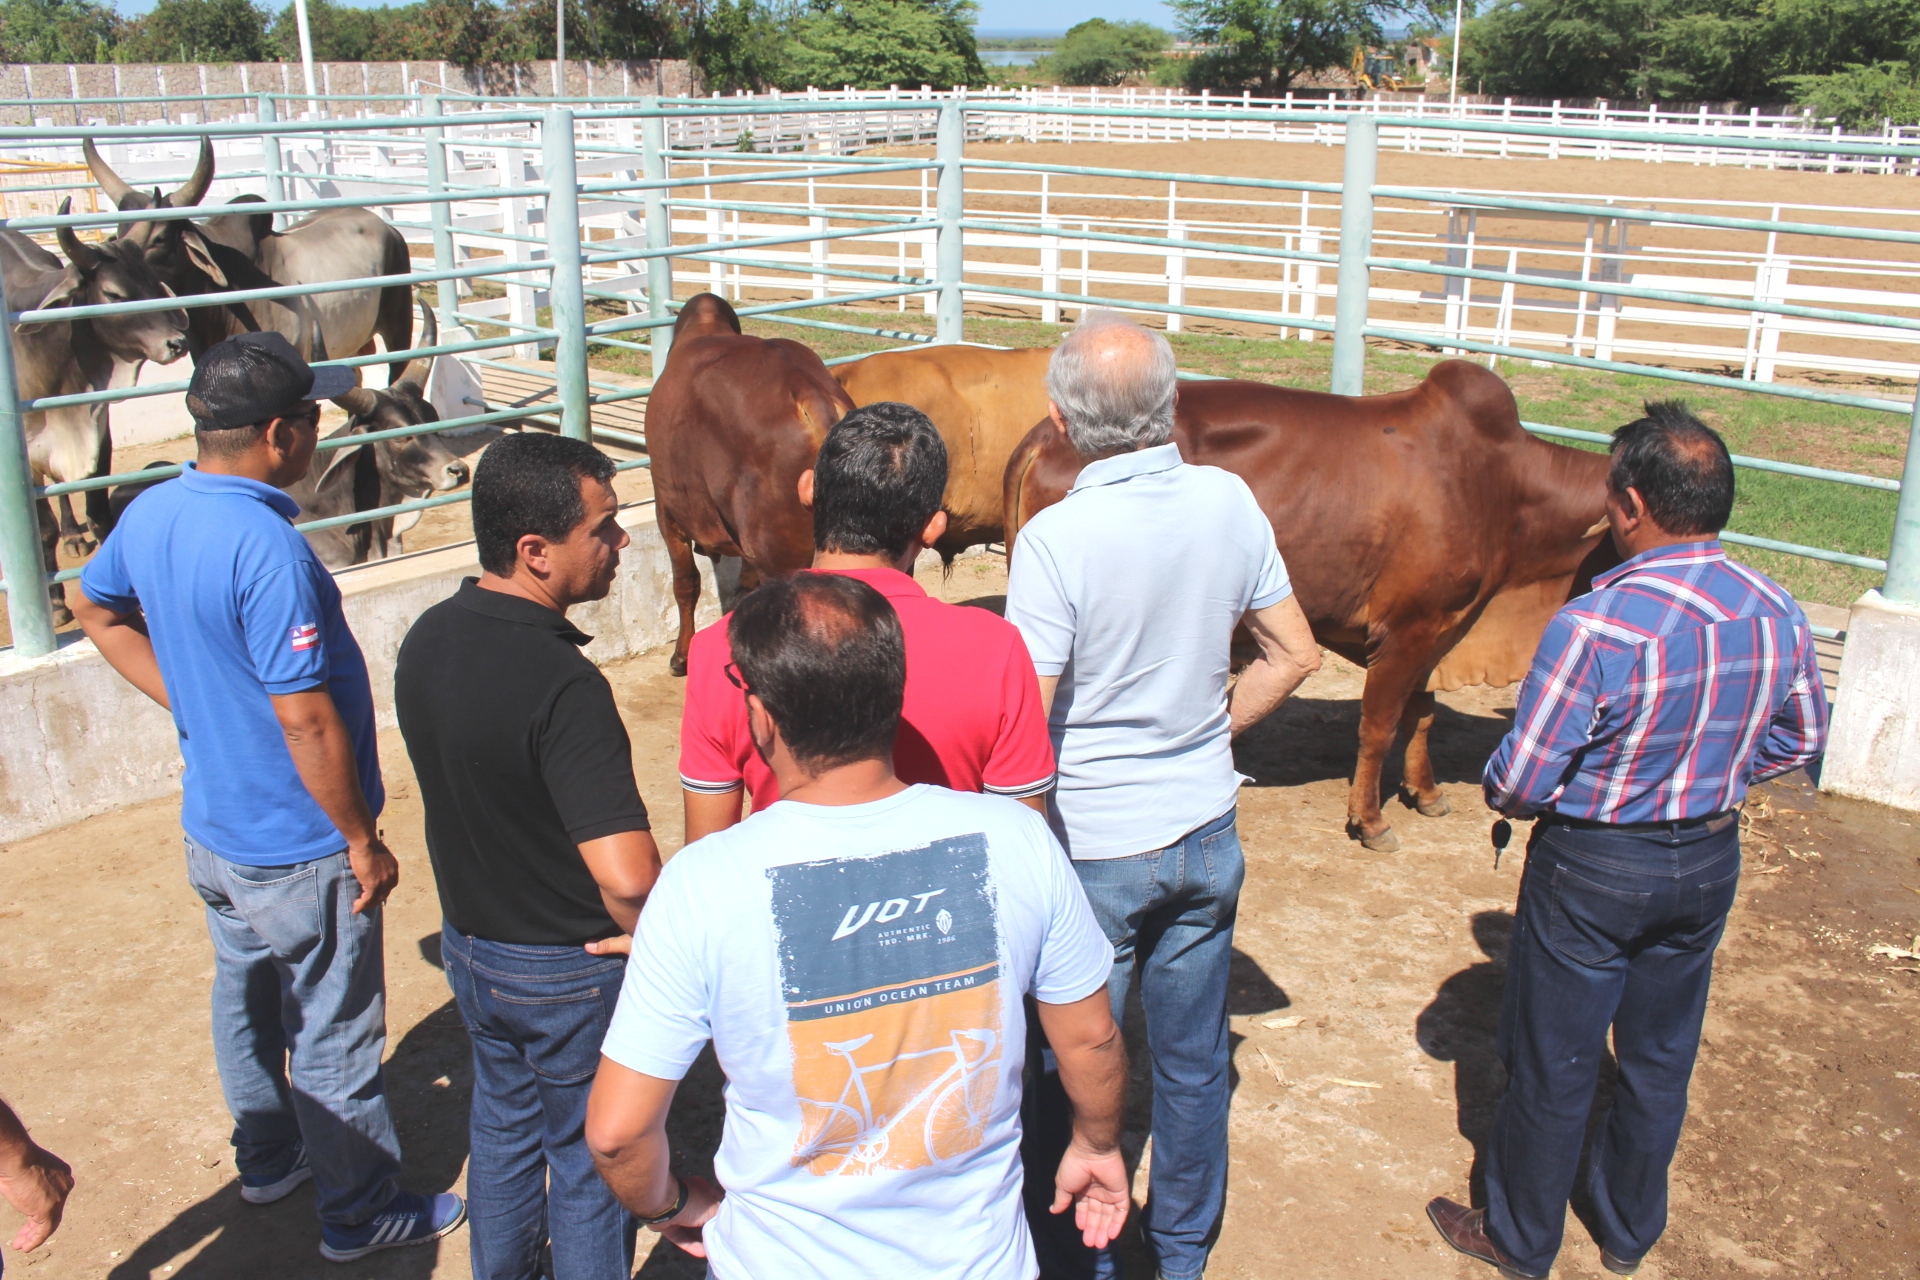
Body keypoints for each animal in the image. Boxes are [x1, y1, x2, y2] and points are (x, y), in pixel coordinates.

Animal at [1006, 360, 1620, 852]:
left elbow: (1422, 715)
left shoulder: (1440, 628)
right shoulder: (1406, 630)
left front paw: (1426, 792)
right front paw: (1370, 820)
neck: (1502, 485)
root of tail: (1046, 434)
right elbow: (1379, 726)